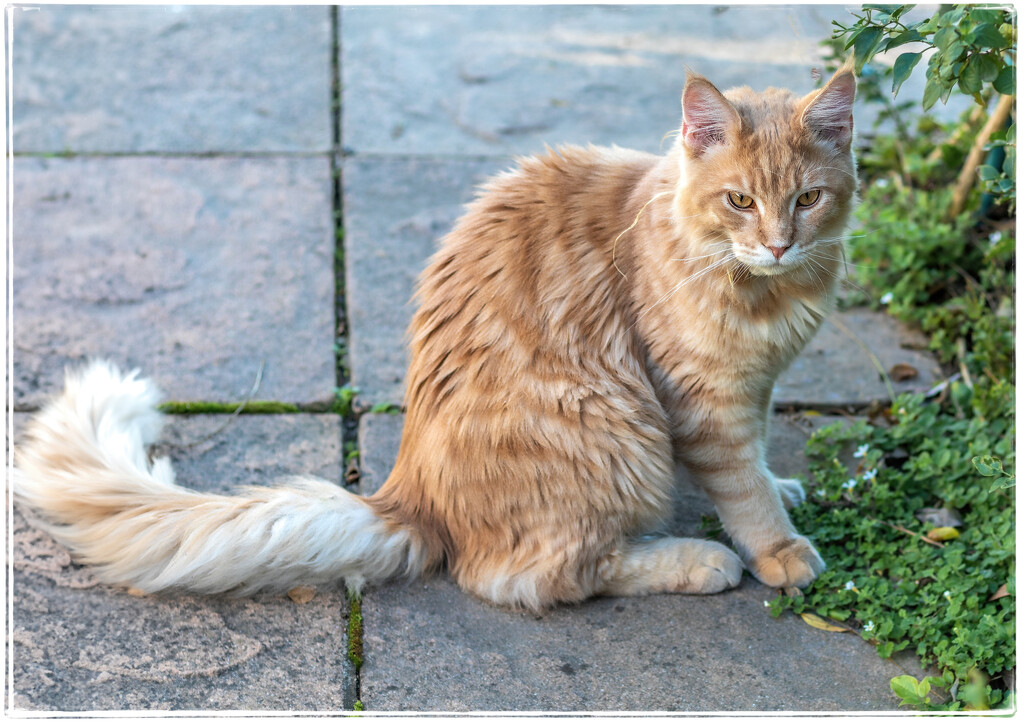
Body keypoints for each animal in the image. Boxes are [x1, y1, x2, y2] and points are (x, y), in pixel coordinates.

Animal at [16, 67, 856, 610]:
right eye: (739, 201)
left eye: (807, 200)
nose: (777, 243)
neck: (771, 293)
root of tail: (408, 493)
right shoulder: (702, 402)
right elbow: (740, 486)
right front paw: (777, 549)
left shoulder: (756, 385)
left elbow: (754, 459)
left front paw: (779, 490)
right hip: (616, 429)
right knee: (542, 577)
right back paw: (700, 560)